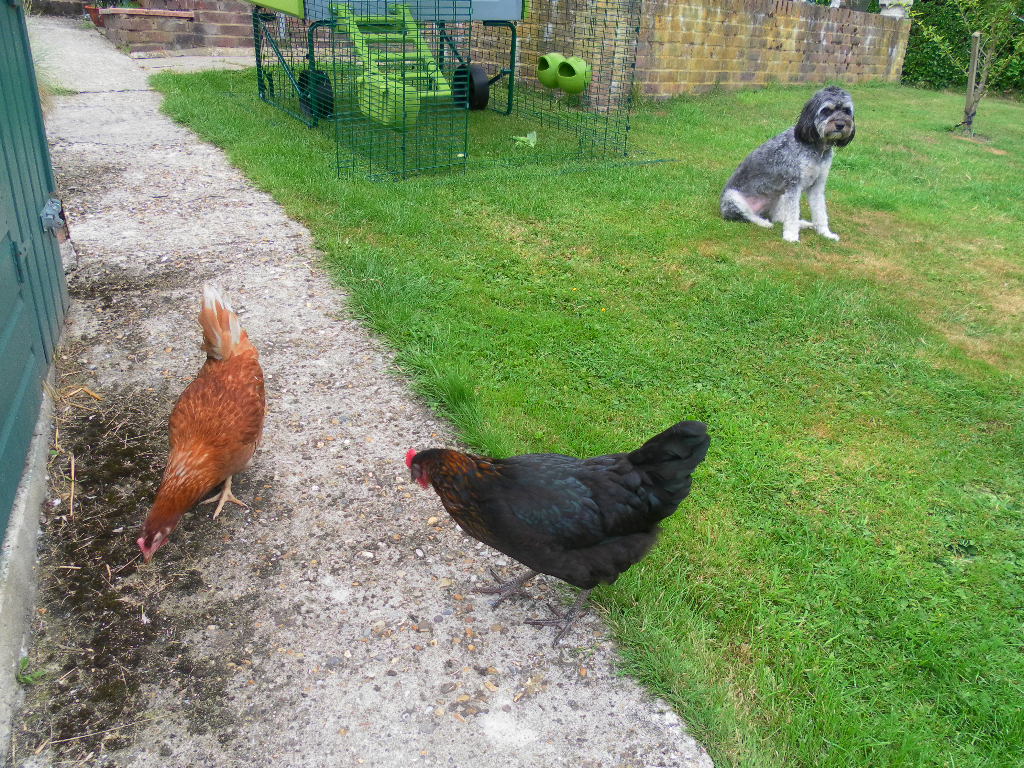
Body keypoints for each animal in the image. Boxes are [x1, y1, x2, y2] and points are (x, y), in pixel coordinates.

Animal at [720, 87, 856, 243]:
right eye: (827, 110)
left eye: (846, 110)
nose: (840, 125)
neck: (816, 147)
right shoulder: (794, 184)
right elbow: (792, 213)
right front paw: (791, 236)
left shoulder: (817, 185)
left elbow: (820, 212)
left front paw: (825, 233)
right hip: (733, 197)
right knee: (749, 216)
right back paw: (764, 223)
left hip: (780, 196)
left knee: (778, 217)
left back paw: (802, 223)